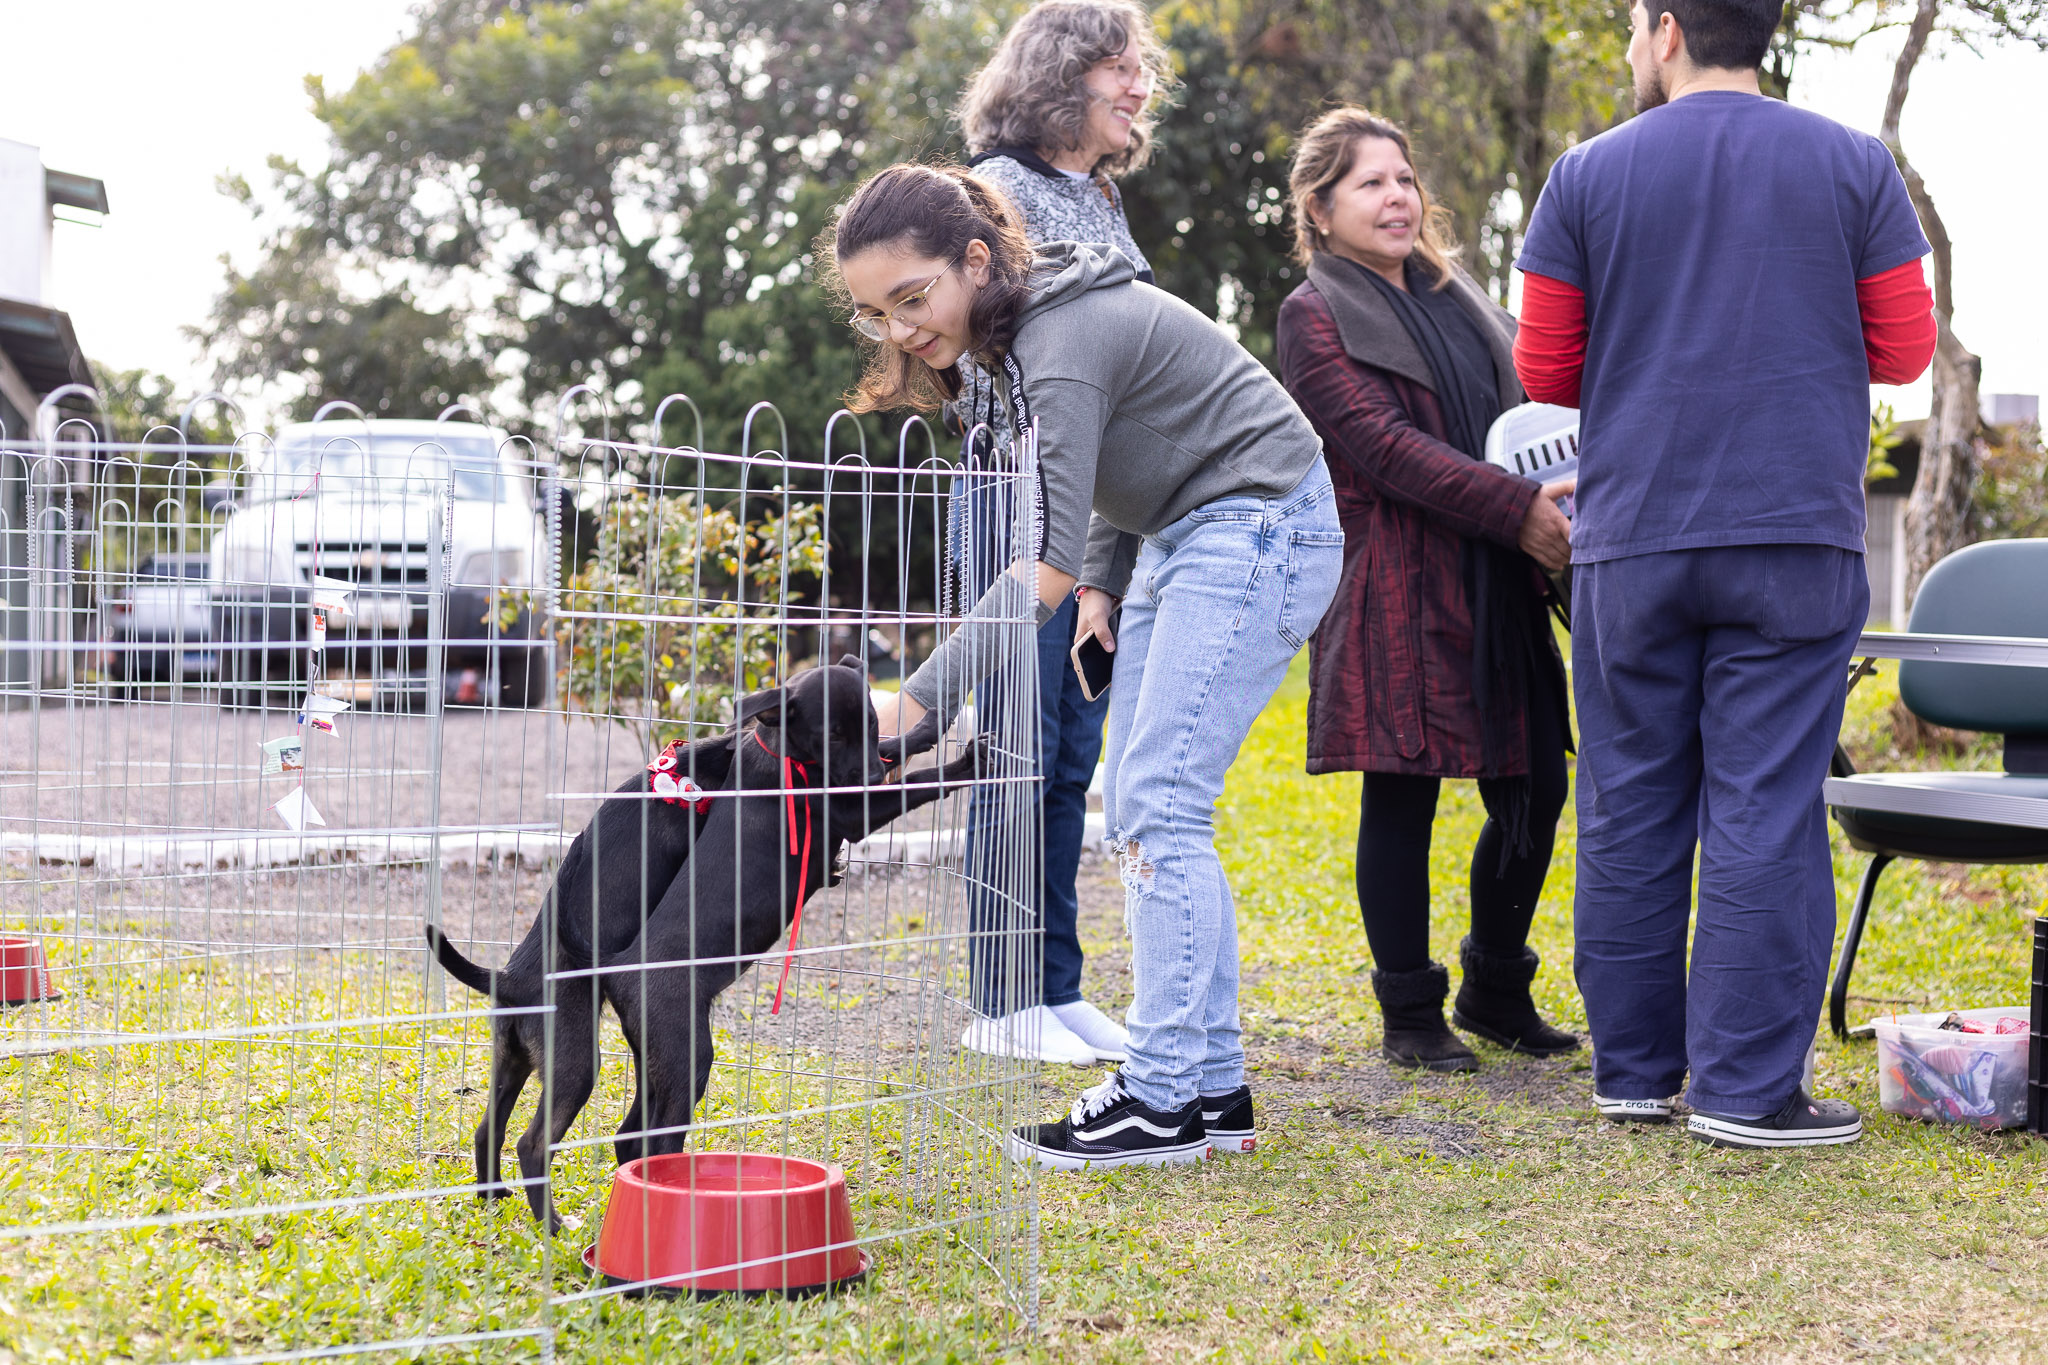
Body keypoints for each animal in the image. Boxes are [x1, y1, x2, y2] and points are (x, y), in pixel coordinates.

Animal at [421, 654, 958, 1236]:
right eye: (832, 734)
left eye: (869, 724)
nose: (870, 775)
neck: (772, 755)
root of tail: (512, 980)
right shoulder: (850, 809)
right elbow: (918, 783)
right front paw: (964, 760)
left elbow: (899, 746)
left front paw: (927, 729)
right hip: (627, 1059)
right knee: (547, 1143)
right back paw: (566, 1223)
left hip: (532, 1059)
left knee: (502, 1129)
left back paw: (495, 1197)